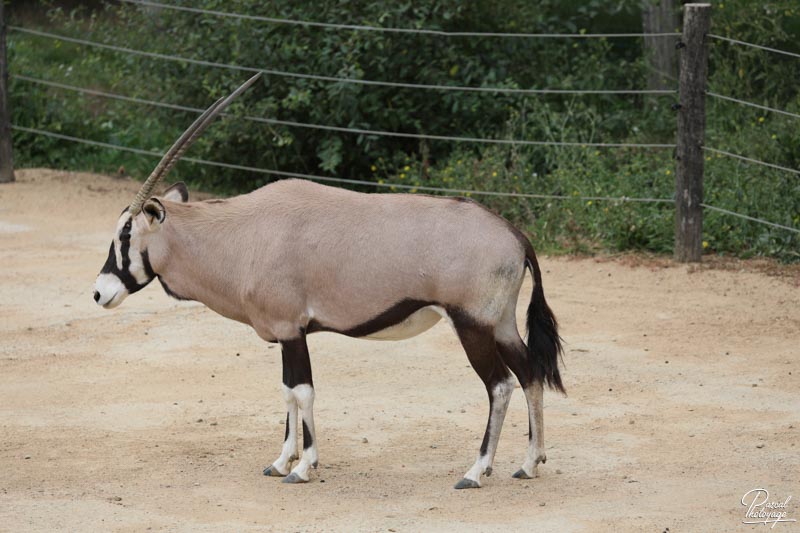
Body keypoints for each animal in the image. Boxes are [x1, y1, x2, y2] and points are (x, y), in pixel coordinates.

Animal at [94, 72, 564, 488]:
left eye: (125, 234)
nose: (99, 293)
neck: (243, 235)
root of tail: (516, 236)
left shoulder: (291, 329)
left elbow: (303, 392)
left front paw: (304, 467)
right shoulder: (289, 333)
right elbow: (287, 391)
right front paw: (281, 461)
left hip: (471, 325)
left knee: (500, 385)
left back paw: (475, 471)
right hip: (500, 324)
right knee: (530, 373)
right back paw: (529, 464)